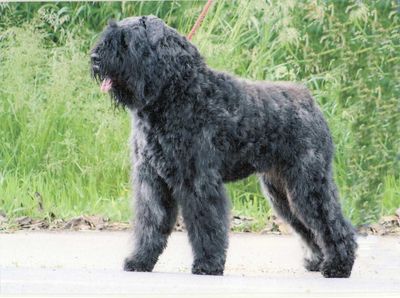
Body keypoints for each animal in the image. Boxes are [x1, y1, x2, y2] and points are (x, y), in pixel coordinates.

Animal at [90, 15, 356, 278]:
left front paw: (207, 265)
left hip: (307, 183)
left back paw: (338, 265)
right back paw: (317, 261)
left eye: (127, 41)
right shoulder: (151, 180)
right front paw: (140, 260)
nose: (94, 58)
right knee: (306, 225)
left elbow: (206, 224)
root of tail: (310, 101)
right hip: (281, 192)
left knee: (331, 222)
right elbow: (151, 221)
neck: (174, 92)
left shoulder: (197, 180)